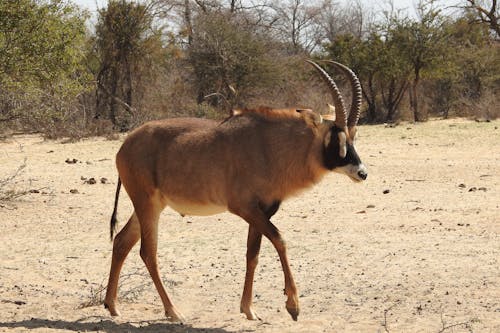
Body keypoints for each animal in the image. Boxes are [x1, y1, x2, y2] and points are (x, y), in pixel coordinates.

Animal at [103, 59, 368, 322]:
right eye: (337, 138)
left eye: (354, 135)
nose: (362, 173)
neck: (269, 147)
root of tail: (125, 146)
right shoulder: (245, 208)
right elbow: (280, 240)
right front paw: (293, 306)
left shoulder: (263, 212)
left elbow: (253, 254)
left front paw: (248, 308)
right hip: (146, 204)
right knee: (148, 252)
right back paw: (172, 311)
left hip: (151, 206)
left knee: (122, 241)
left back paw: (112, 305)